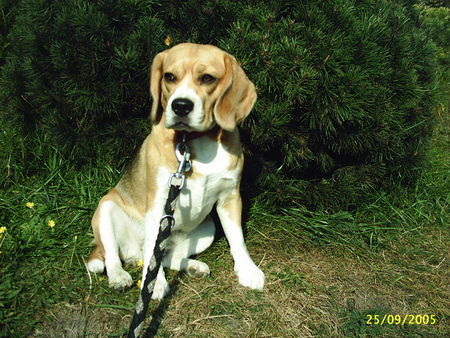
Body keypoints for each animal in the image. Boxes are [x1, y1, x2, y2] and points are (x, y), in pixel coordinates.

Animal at [86, 42, 266, 298]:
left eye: (207, 78)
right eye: (169, 76)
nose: (180, 105)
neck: (193, 142)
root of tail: (132, 252)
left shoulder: (230, 197)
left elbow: (237, 238)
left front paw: (248, 270)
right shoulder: (158, 204)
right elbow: (152, 252)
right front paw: (155, 284)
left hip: (207, 228)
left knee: (168, 257)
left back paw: (193, 266)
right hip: (106, 208)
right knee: (119, 255)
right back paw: (120, 276)